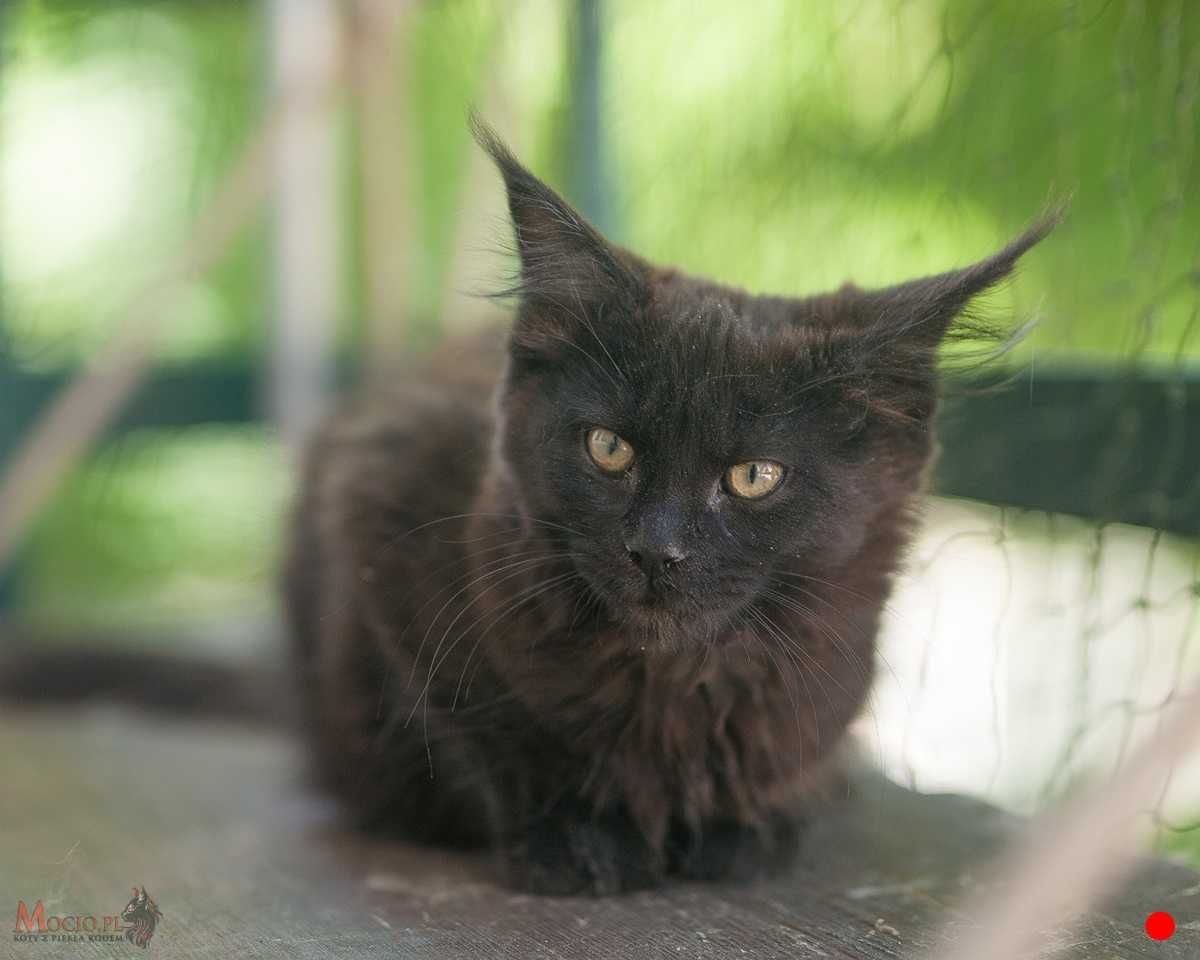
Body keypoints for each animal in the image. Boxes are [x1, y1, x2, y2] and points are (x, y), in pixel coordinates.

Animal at [285, 118, 1056, 892]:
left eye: (754, 476)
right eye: (608, 447)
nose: (656, 550)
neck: (673, 678)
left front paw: (742, 831)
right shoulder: (379, 495)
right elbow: (484, 740)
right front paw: (577, 838)